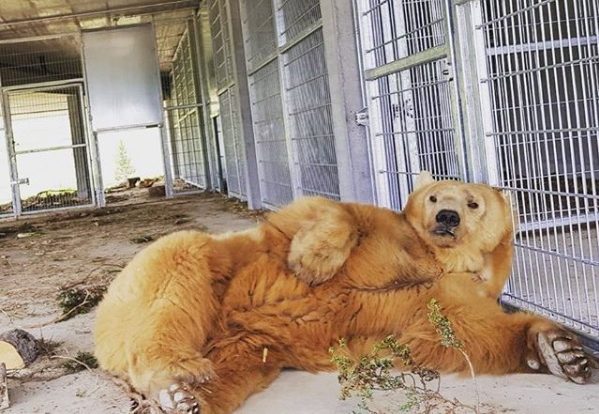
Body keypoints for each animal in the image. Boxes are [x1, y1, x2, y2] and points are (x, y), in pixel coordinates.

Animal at [94, 173, 594, 414]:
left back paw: (183, 400)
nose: (448, 217)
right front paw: (312, 261)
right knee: (180, 271)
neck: (436, 258)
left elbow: (454, 330)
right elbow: (327, 211)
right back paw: (176, 374)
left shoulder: (444, 292)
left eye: (472, 202)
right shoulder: (385, 229)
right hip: (178, 275)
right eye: (434, 196)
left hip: (252, 346)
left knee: (234, 373)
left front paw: (561, 351)